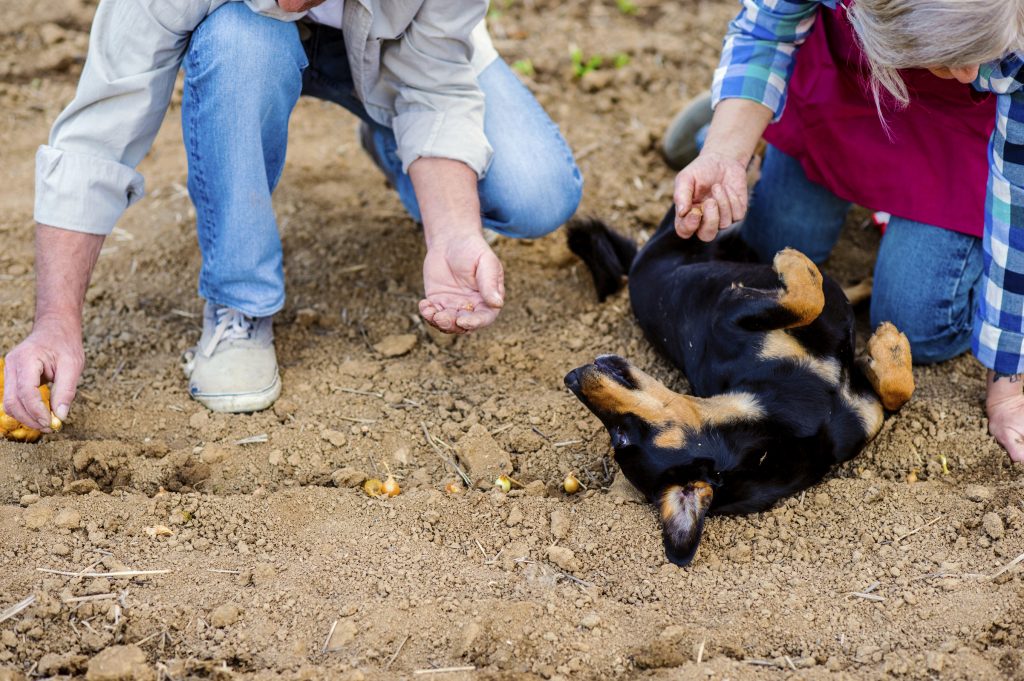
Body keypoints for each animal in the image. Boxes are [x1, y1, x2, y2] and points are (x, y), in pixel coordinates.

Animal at [565, 209, 917, 565]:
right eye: (619, 436)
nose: (572, 378)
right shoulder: (728, 308)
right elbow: (807, 299)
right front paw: (794, 261)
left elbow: (897, 391)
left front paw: (887, 350)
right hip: (686, 234)